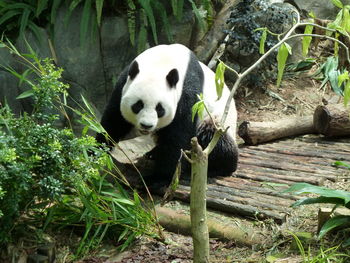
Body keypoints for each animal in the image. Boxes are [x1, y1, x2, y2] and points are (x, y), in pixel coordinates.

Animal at [95, 44, 238, 189]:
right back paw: (153, 154)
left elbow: (179, 136)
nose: (146, 125)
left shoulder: (187, 94)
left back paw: (218, 167)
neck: (161, 63)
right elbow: (114, 120)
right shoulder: (123, 84)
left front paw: (157, 179)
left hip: (218, 119)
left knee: (212, 136)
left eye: (160, 109)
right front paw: (95, 152)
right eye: (138, 105)